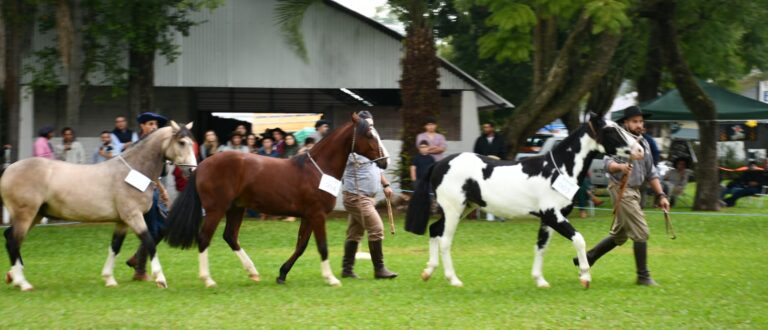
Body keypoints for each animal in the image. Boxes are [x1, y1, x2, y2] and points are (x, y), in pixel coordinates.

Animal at [1, 122, 198, 292]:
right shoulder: (133, 216)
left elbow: (115, 247)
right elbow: (149, 242)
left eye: (192, 143)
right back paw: (23, 283)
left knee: (11, 238)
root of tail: (8, 170)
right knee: (13, 241)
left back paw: (14, 277)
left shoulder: (122, 222)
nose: (192, 170)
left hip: (35, 215)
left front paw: (109, 279)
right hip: (26, 215)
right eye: (182, 142)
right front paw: (160, 279)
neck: (132, 171)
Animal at [165, 111, 388, 286]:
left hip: (236, 208)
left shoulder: (308, 216)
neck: (318, 171)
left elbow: (301, 246)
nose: (385, 161)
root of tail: (201, 165)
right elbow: (322, 246)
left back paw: (253, 272)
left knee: (230, 236)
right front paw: (331, 279)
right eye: (369, 134)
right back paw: (208, 279)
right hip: (216, 209)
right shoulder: (317, 215)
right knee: (204, 238)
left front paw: (282, 274)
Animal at [404, 114, 644, 288]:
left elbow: (541, 247)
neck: (559, 170)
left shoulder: (547, 220)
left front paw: (540, 280)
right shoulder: (553, 215)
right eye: (611, 130)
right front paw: (585, 277)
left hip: (462, 209)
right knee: (445, 240)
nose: (640, 150)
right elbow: (579, 240)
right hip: (453, 209)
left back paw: (427, 272)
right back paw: (454, 280)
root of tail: (439, 164)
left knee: (434, 230)